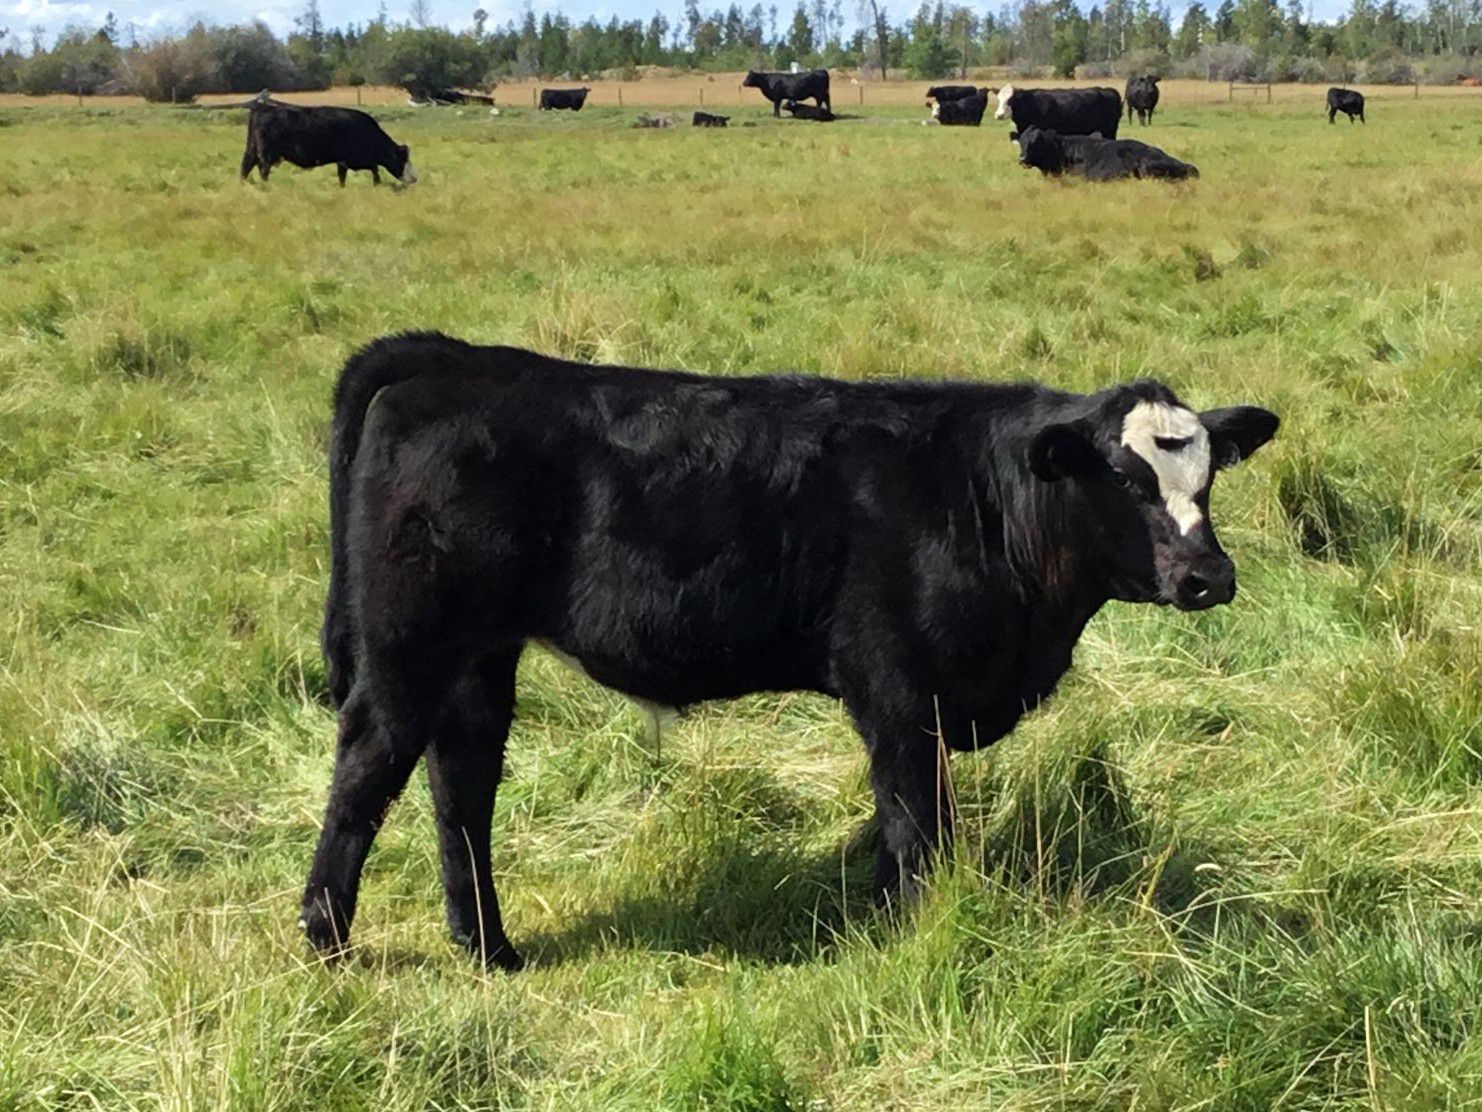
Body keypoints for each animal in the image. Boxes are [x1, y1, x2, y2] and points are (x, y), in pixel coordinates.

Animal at [240, 103, 416, 187]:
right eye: (403, 160)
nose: (414, 178)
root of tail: (263, 108)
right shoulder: (353, 160)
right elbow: (374, 168)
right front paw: (377, 184)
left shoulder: (343, 161)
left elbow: (343, 177)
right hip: (266, 155)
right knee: (263, 171)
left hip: (252, 149)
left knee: (245, 167)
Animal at [305, 333, 1278, 970]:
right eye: (1124, 476)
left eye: (1209, 476)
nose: (1208, 576)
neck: (982, 498)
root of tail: (446, 356)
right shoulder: (900, 695)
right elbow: (918, 829)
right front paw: (915, 936)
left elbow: (903, 832)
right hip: (408, 648)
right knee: (366, 772)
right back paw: (328, 942)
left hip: (478, 656)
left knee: (460, 783)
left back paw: (489, 947)